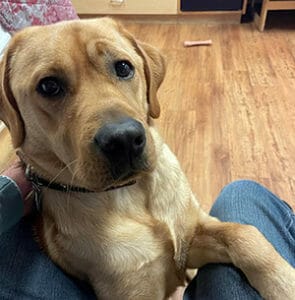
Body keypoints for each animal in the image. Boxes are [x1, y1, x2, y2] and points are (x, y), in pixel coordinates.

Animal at [0, 18, 295, 300]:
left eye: (123, 67)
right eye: (49, 86)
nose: (123, 140)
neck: (133, 195)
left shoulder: (189, 240)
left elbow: (244, 234)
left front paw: (283, 281)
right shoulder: (135, 287)